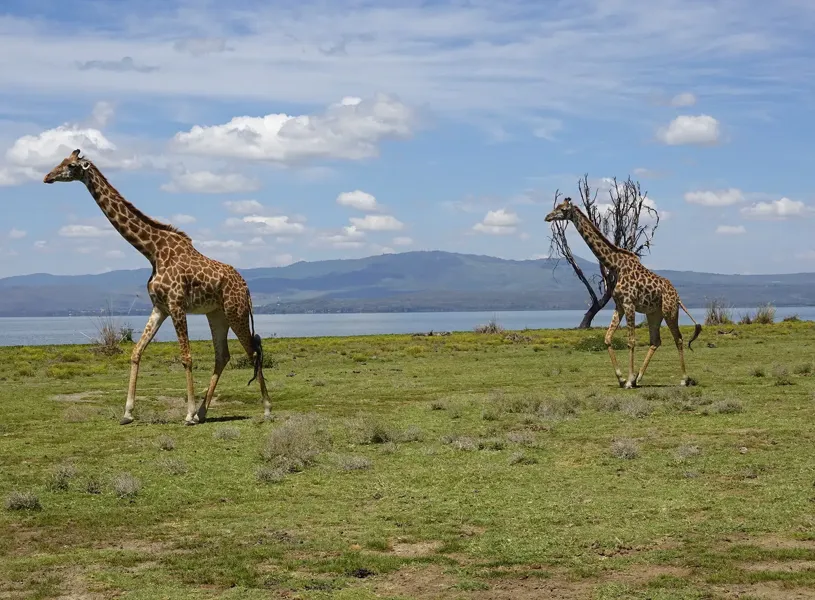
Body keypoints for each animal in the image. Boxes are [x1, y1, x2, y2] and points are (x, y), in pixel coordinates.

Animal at [43, 149, 272, 425]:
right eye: (61, 160)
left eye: (70, 165)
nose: (47, 176)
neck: (152, 251)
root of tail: (246, 287)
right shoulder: (159, 307)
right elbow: (136, 351)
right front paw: (128, 413)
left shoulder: (176, 304)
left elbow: (186, 357)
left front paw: (188, 414)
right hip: (216, 314)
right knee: (223, 355)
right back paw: (204, 412)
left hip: (235, 311)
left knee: (253, 350)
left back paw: (266, 408)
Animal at [545, 197, 702, 388]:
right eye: (556, 207)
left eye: (562, 209)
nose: (547, 217)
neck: (616, 266)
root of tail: (677, 296)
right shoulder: (619, 305)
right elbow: (607, 338)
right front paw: (622, 378)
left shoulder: (629, 303)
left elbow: (631, 341)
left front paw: (627, 380)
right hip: (654, 313)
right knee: (655, 341)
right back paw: (639, 378)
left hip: (669, 310)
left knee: (678, 338)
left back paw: (684, 378)